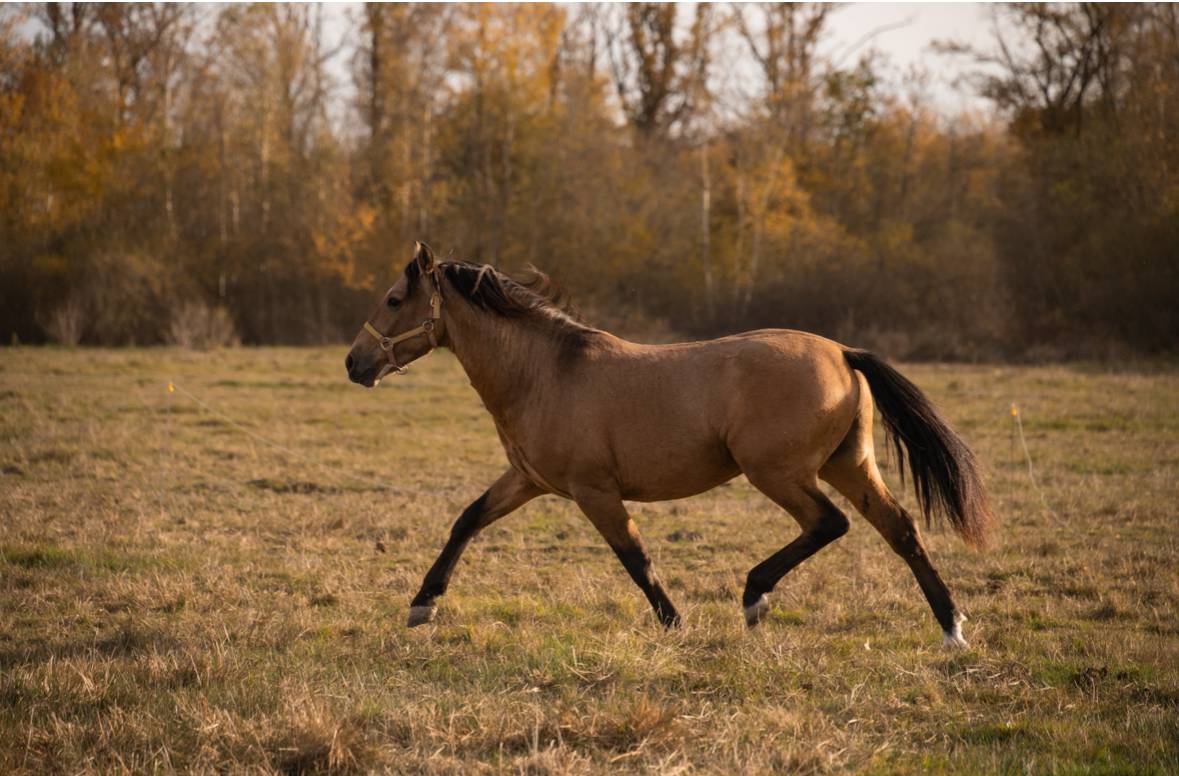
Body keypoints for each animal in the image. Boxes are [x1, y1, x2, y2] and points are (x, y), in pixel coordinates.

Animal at [345, 243, 991, 647]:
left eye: (395, 300)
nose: (354, 363)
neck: (545, 372)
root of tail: (842, 353)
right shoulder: (529, 481)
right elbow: (467, 520)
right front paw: (422, 604)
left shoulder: (593, 491)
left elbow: (635, 557)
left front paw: (674, 623)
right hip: (849, 465)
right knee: (899, 528)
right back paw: (951, 628)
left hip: (779, 473)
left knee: (829, 524)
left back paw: (754, 596)